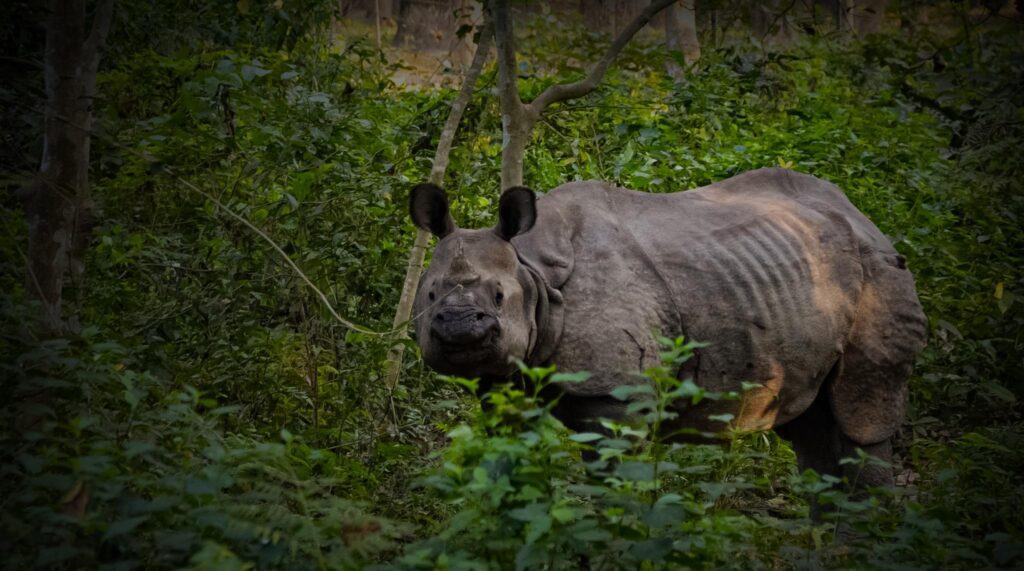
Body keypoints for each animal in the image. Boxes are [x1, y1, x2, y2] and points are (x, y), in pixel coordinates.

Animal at [409, 168, 928, 492]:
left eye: (500, 297)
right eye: (429, 296)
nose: (458, 327)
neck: (532, 270)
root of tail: (863, 216)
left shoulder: (616, 395)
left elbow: (611, 481)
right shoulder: (505, 385)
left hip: (881, 272)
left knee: (860, 421)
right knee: (814, 429)